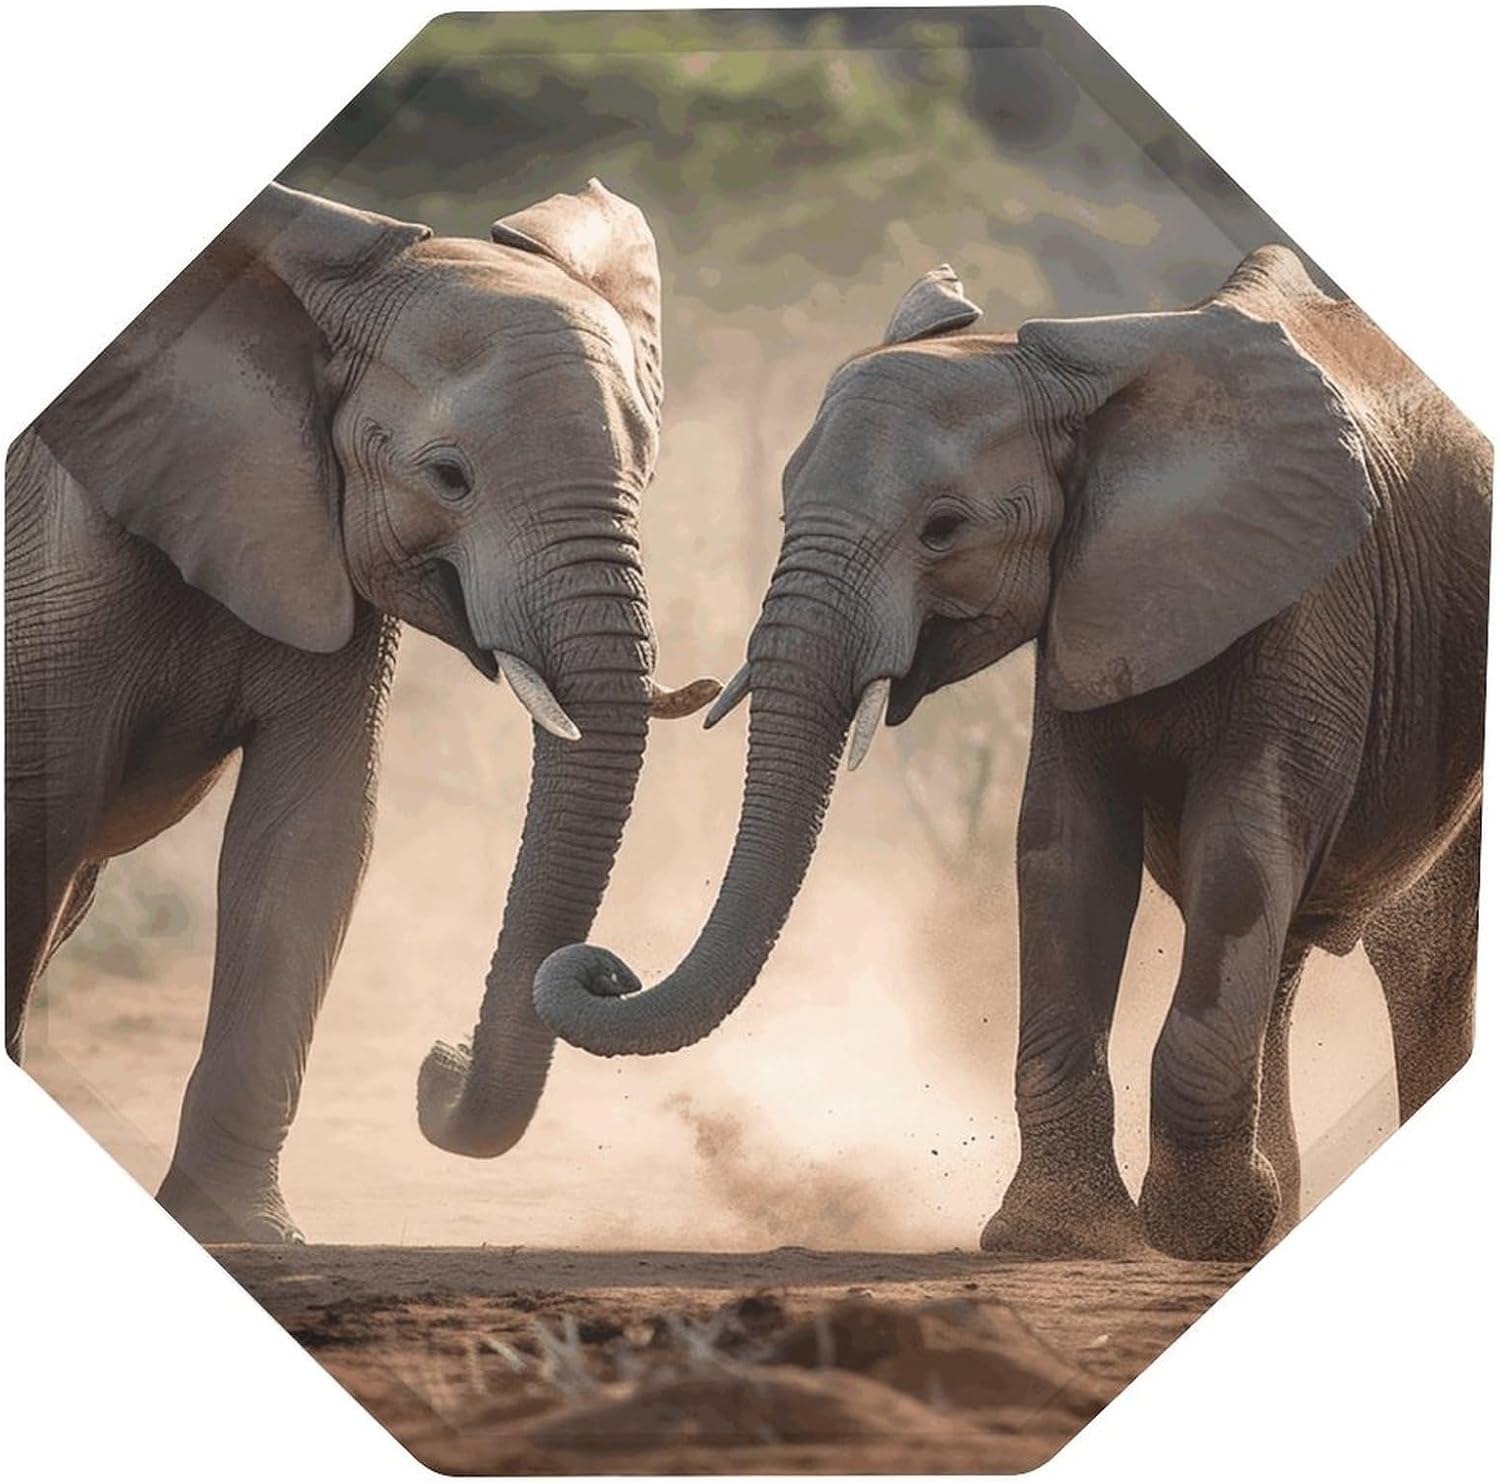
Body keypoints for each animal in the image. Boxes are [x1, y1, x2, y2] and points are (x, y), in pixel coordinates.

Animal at [5, 179, 719, 1243]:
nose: (436, 1063)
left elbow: (312, 839)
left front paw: (243, 1232)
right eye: (449, 476)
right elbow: (35, 821)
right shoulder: (60, 562)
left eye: (649, 468)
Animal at [532, 245, 1491, 1262]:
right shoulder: (1088, 596)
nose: (605, 964)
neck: (1079, 368)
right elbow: (1067, 851)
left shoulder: (1311, 599)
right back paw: (1271, 1220)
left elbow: (1237, 852)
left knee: (1416, 958)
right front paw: (1064, 1236)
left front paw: (1193, 1234)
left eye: (944, 528)